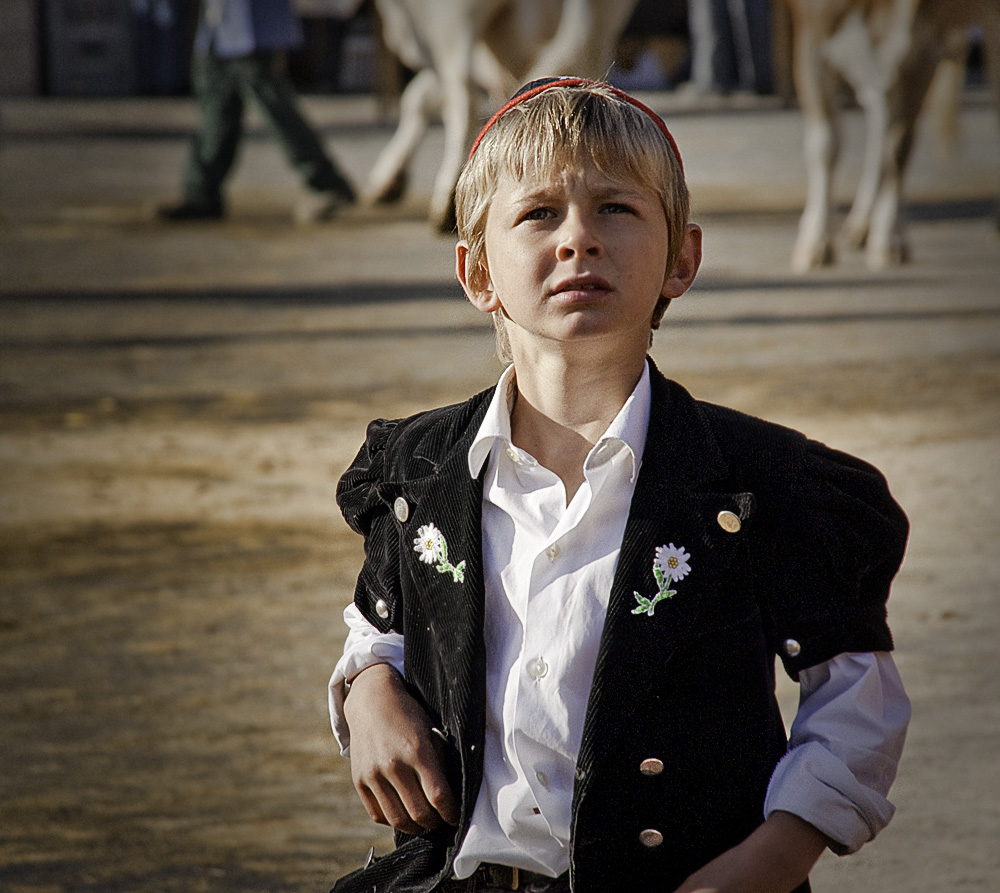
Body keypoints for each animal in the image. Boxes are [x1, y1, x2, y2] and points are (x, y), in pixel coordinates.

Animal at [368, 0, 640, 230]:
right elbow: (423, 97)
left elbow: (423, 98)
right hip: (604, 21)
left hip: (457, 18)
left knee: (464, 92)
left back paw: (446, 201)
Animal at [788, 0, 1000, 272]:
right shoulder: (811, 37)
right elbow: (825, 146)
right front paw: (817, 240)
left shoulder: (922, 49)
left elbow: (898, 149)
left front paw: (889, 237)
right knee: (878, 113)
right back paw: (862, 224)